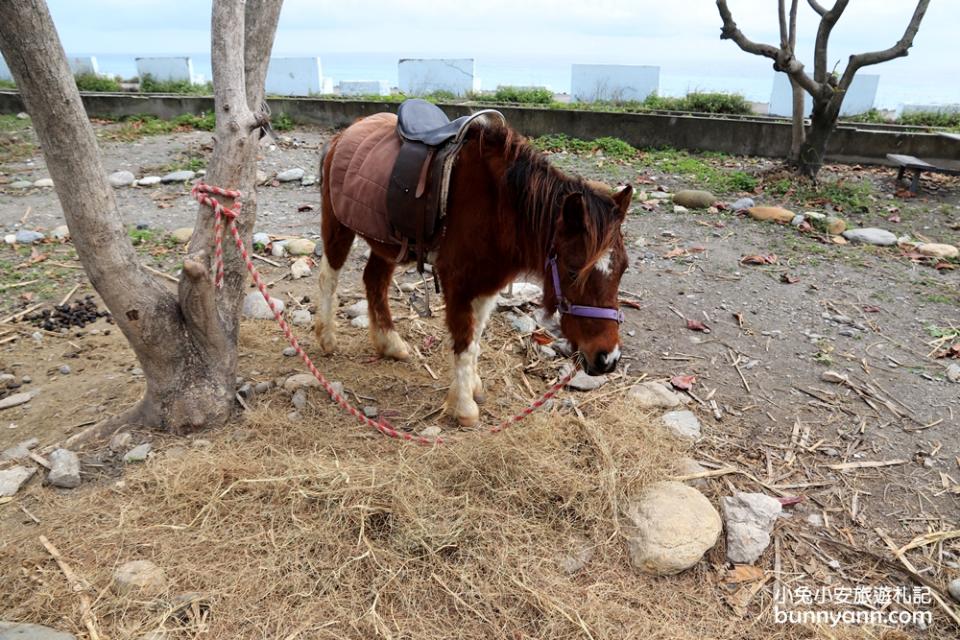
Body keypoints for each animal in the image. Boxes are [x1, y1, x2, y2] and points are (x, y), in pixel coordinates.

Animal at [316, 116, 632, 424]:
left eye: (623, 269)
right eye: (573, 271)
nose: (607, 359)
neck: (497, 207)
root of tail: (348, 130)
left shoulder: (487, 282)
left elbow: (476, 337)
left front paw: (470, 386)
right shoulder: (457, 284)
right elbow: (464, 342)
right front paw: (464, 407)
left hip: (389, 244)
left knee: (374, 280)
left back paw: (389, 343)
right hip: (338, 225)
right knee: (329, 277)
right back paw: (326, 338)